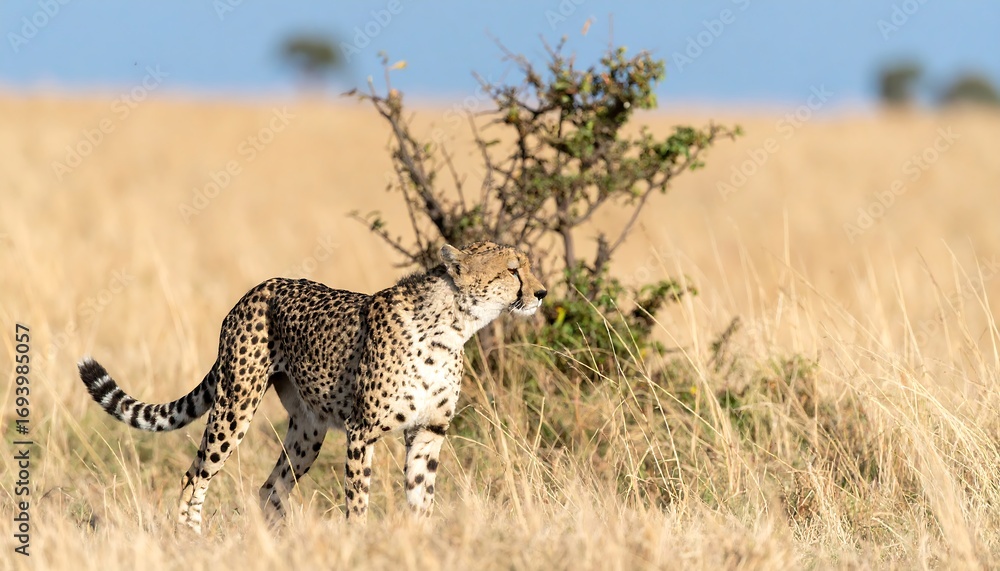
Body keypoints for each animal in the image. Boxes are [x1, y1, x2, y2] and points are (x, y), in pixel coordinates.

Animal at [78, 241, 546, 534]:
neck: (452, 328)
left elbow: (421, 496)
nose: (541, 292)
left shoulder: (429, 431)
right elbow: (358, 499)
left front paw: (422, 540)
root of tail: (257, 289)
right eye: (512, 269)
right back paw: (188, 539)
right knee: (196, 474)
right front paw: (358, 542)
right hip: (236, 404)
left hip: (308, 430)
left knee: (269, 488)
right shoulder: (361, 430)